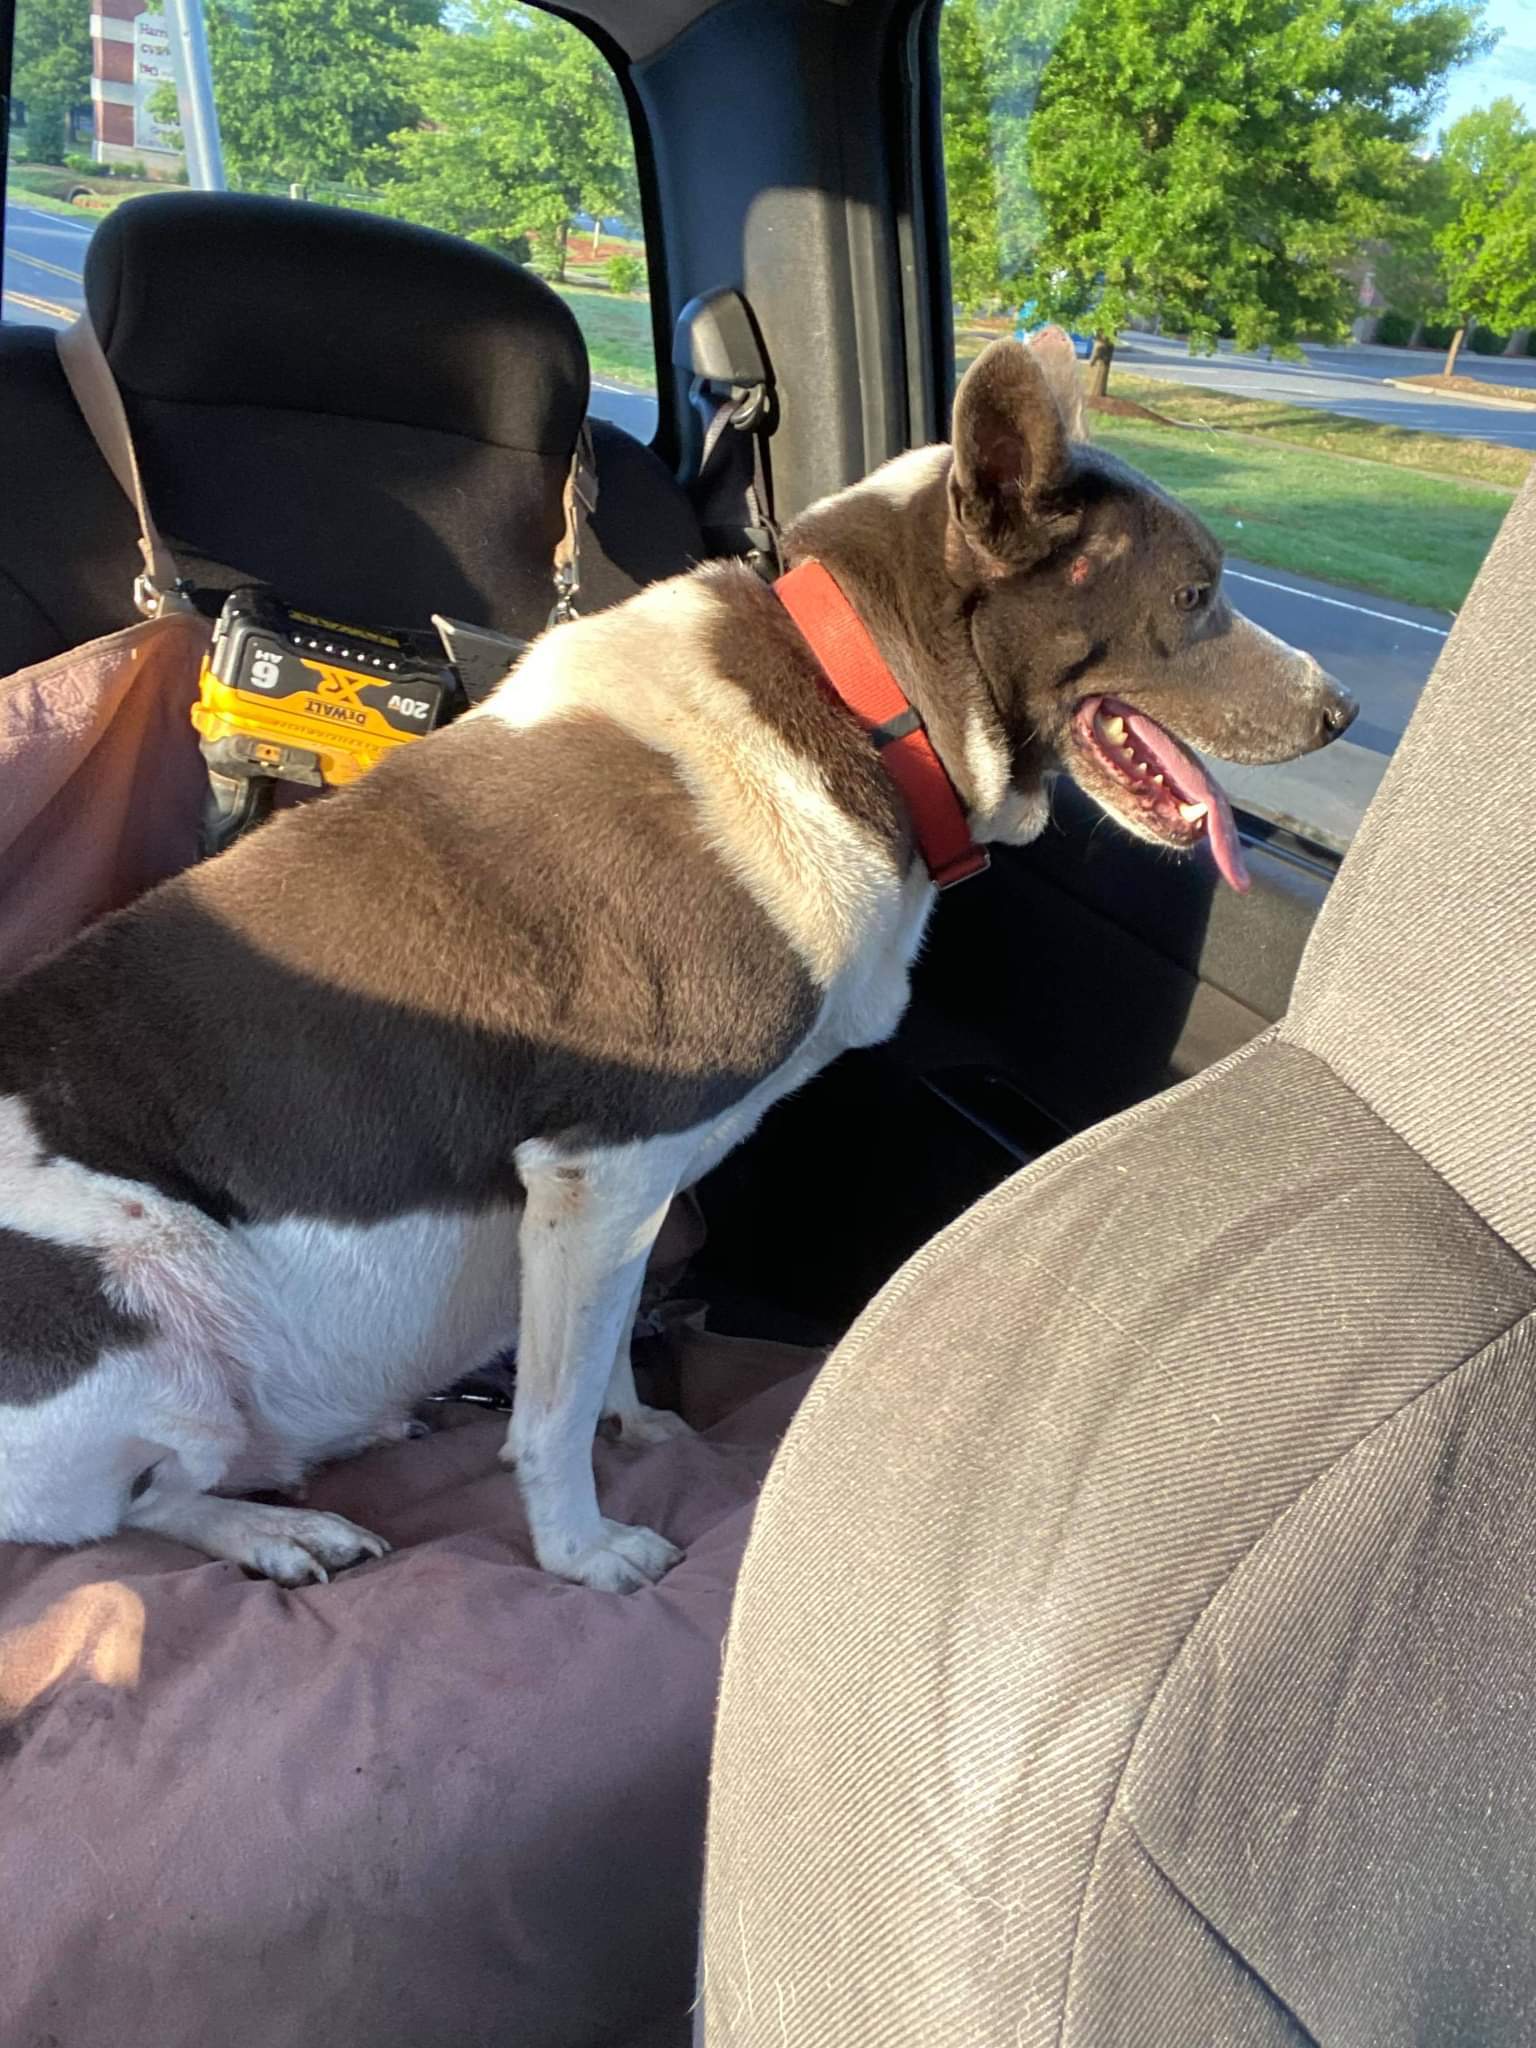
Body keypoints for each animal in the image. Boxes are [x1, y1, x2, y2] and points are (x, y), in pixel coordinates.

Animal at [0, 327, 1351, 1589]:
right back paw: (277, 1529)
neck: (861, 701)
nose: (1339, 712)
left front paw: (636, 1424)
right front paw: (581, 1549)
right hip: (149, 1287)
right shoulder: (601, 1165)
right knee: (121, 1507)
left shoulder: (616, 1207)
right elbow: (549, 1413)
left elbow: (595, 1357)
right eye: (1198, 592)